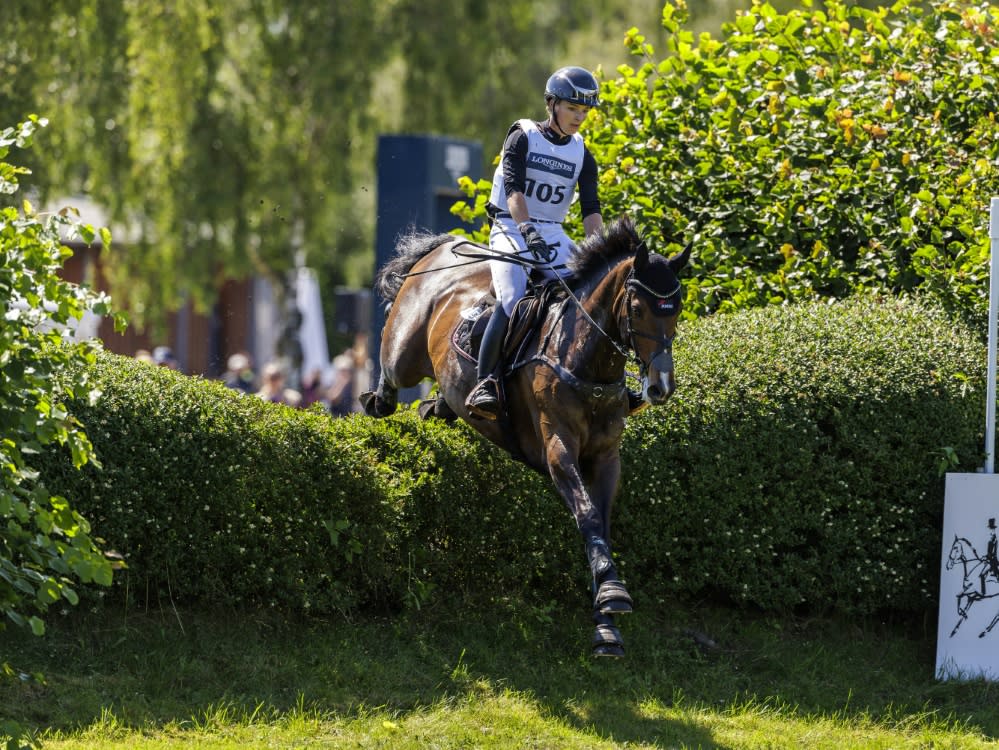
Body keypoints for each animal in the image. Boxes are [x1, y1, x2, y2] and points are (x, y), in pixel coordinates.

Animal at [364, 217, 692, 656]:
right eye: (638, 309)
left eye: (677, 309)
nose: (660, 386)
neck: (585, 360)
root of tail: (445, 247)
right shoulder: (557, 448)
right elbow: (587, 513)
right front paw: (612, 592)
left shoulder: (607, 457)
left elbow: (600, 524)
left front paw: (606, 623)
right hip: (405, 353)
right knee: (391, 364)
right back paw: (379, 397)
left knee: (437, 402)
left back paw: (440, 406)